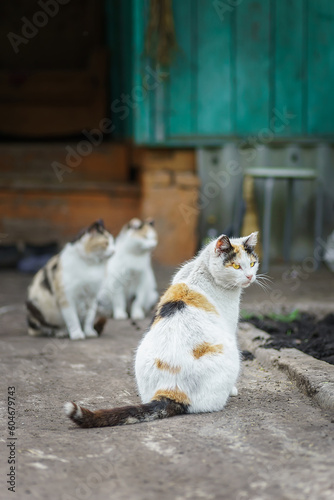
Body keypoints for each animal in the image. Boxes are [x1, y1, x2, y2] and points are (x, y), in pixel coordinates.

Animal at [64, 231, 258, 426]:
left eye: (252, 264)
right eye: (236, 266)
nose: (250, 277)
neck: (201, 270)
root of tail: (170, 389)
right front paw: (234, 389)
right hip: (231, 350)